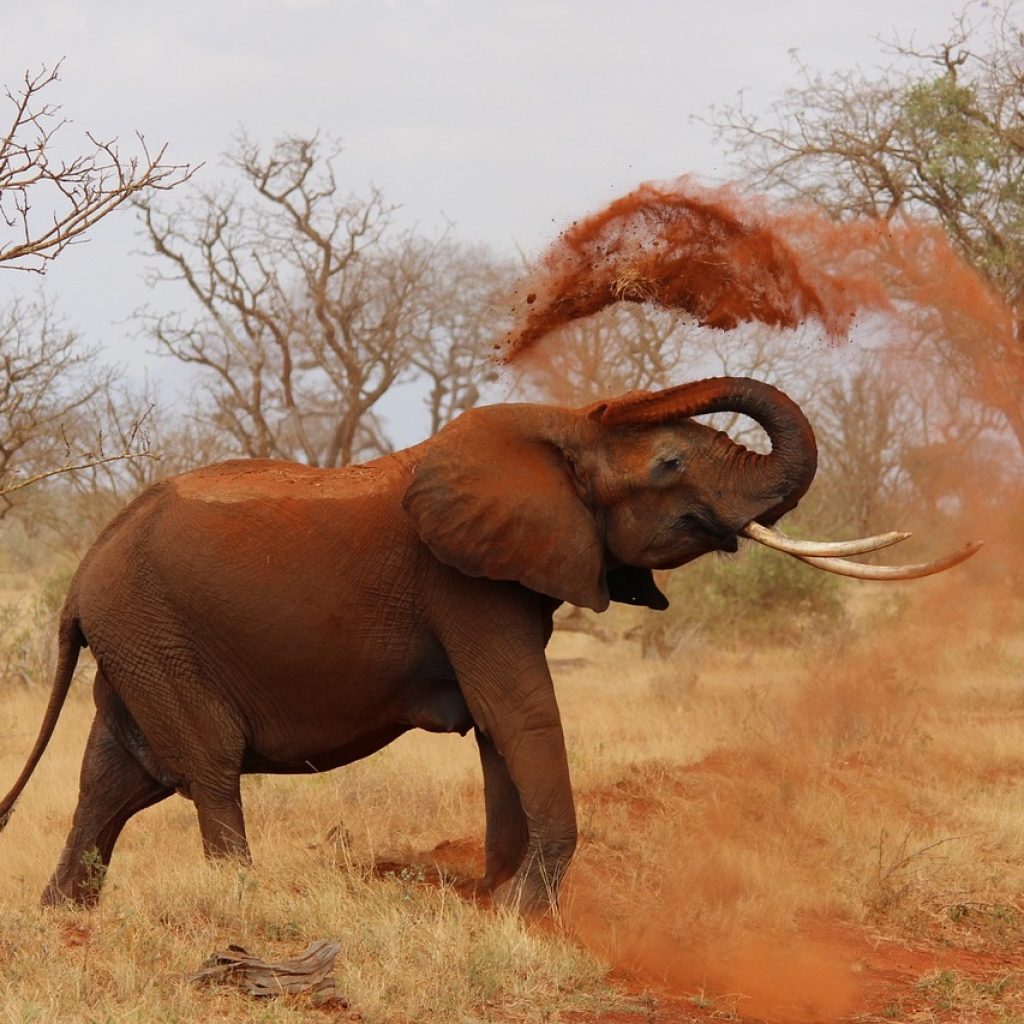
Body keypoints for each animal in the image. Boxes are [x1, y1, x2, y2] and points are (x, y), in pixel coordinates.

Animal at [0, 376, 975, 913]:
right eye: (668, 465)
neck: (556, 431)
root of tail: (84, 567)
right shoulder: (464, 584)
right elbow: (522, 713)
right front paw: (530, 914)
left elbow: (503, 730)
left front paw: (497, 902)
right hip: (154, 632)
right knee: (202, 766)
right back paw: (240, 902)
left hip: (137, 638)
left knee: (116, 775)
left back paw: (64, 917)